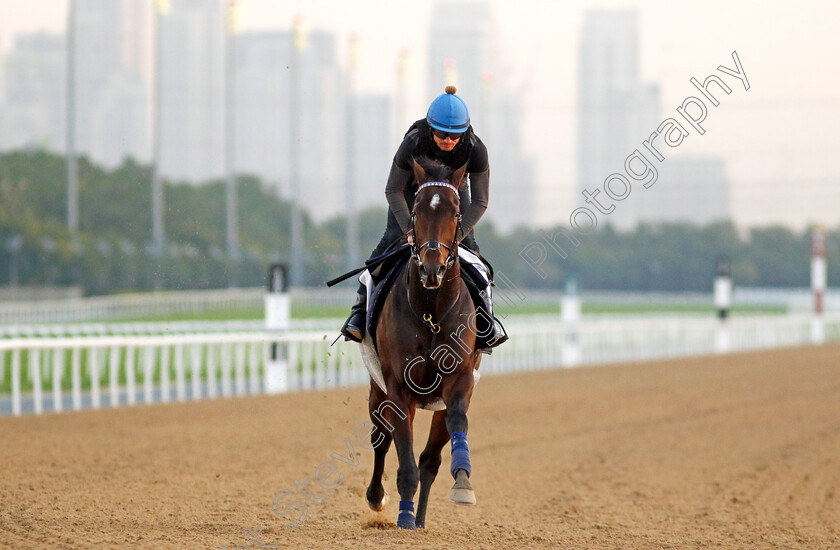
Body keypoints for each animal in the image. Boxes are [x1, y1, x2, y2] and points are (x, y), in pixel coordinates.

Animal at [362, 158, 486, 532]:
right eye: (416, 210)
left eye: (456, 211)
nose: (432, 267)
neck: (431, 309)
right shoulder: (398, 386)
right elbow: (403, 457)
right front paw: (401, 515)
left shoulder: (459, 380)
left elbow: (456, 424)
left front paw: (463, 482)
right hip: (377, 390)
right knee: (380, 438)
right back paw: (380, 499)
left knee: (430, 459)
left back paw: (420, 518)